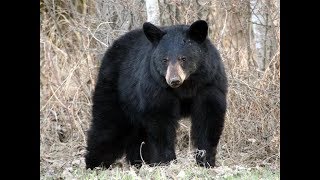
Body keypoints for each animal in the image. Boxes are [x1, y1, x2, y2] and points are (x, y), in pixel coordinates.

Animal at [85, 20, 228, 169]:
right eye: (165, 60)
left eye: (183, 58)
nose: (174, 80)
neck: (186, 86)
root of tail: (112, 47)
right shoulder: (156, 87)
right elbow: (161, 121)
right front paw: (166, 161)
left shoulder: (209, 83)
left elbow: (208, 118)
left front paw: (206, 160)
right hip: (116, 90)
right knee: (108, 125)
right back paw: (95, 164)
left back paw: (139, 162)